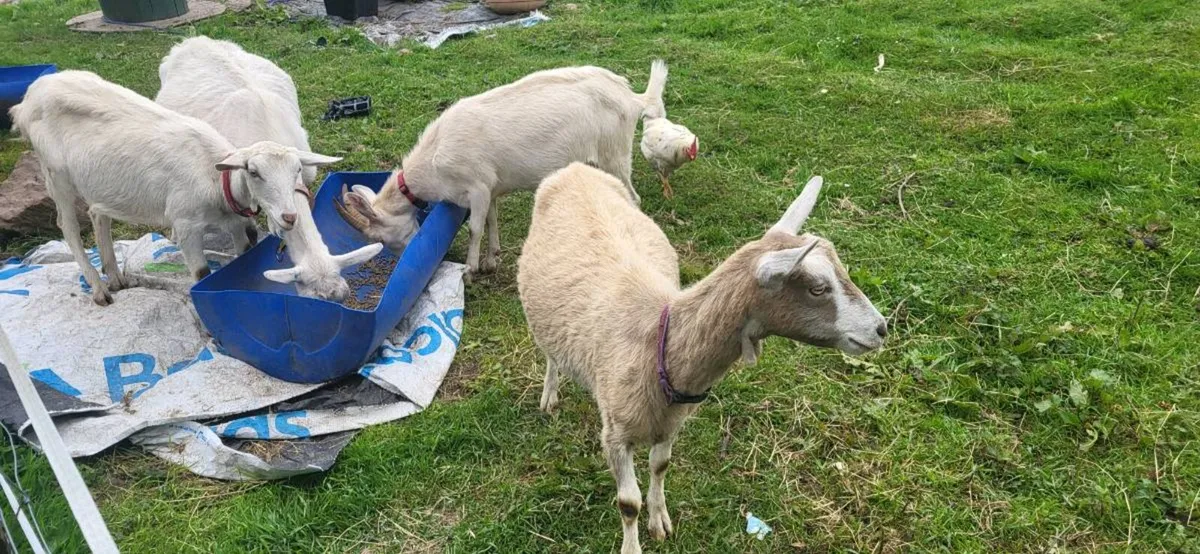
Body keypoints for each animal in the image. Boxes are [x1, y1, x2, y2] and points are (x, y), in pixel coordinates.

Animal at [9, 70, 341, 305]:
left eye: (296, 170)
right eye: (254, 171)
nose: (289, 217)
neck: (216, 178)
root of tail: (29, 97)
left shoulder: (234, 222)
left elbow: (242, 252)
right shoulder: (185, 223)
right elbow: (201, 272)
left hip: (94, 180)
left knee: (97, 215)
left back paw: (115, 276)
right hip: (55, 172)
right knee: (68, 226)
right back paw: (99, 289)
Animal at [337, 61, 670, 278]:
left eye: (379, 239)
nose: (403, 259)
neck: (434, 158)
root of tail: (632, 97)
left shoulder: (477, 184)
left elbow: (475, 227)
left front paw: (470, 269)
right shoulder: (492, 187)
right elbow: (491, 219)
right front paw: (492, 258)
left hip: (615, 151)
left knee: (633, 197)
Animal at [517, 163, 888, 554]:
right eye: (818, 288)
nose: (881, 328)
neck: (660, 342)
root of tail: (575, 169)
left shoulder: (671, 422)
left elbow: (660, 466)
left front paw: (659, 521)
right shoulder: (615, 434)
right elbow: (628, 503)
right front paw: (633, 544)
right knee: (550, 353)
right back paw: (550, 395)